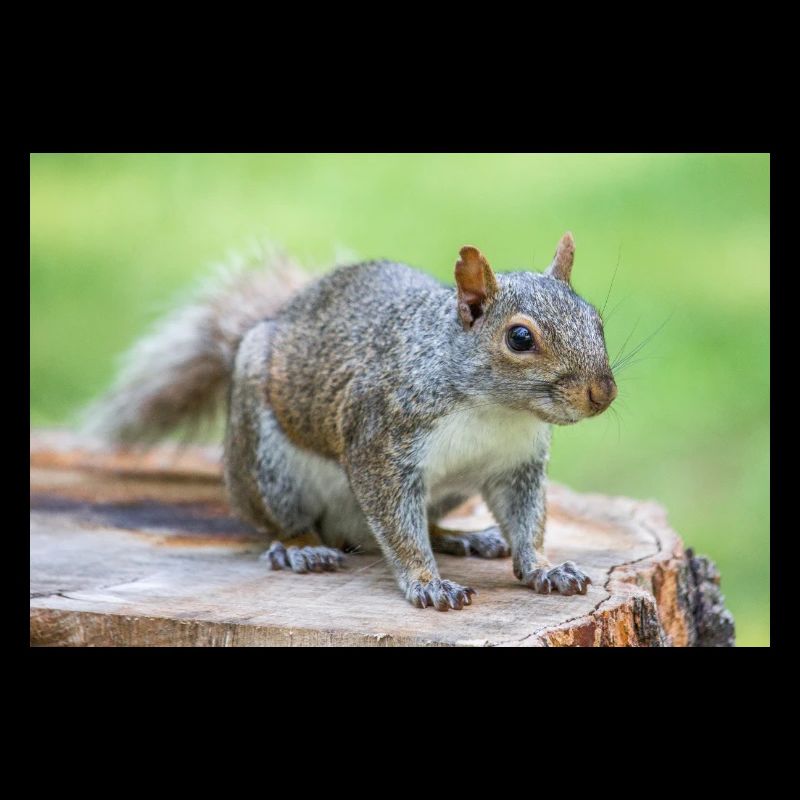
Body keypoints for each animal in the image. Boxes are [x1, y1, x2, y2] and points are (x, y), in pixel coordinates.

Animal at [88, 233, 617, 611]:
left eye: (597, 320)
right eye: (520, 338)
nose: (603, 394)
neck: (495, 410)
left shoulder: (516, 465)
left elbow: (527, 522)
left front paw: (544, 568)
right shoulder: (380, 443)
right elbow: (398, 528)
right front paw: (427, 583)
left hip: (449, 491)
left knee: (412, 523)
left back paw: (461, 536)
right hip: (267, 465)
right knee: (284, 522)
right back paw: (301, 548)